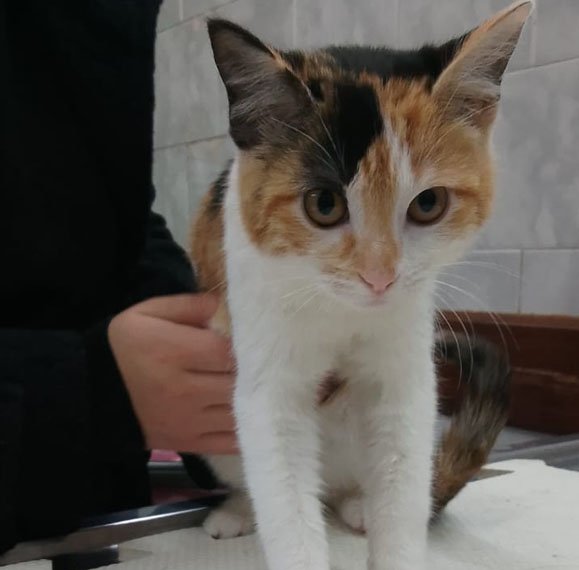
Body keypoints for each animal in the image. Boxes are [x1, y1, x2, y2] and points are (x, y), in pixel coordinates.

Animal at [190, 2, 530, 569]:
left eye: (428, 203)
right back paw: (235, 511)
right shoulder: (266, 355)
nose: (380, 275)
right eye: (323, 205)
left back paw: (358, 506)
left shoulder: (406, 368)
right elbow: (282, 487)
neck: (341, 310)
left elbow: (402, 467)